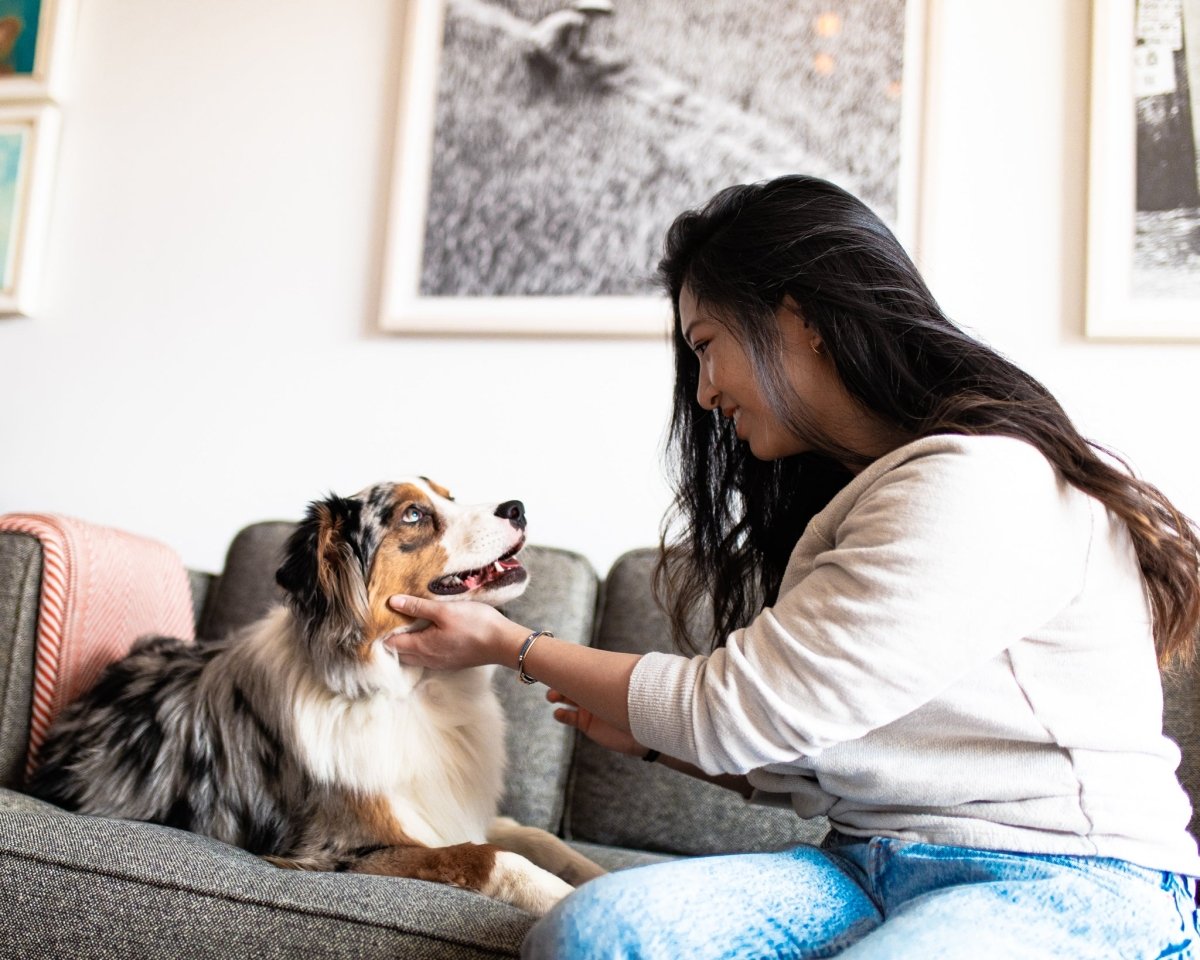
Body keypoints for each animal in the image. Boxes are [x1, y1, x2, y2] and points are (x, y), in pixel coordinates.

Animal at [25, 480, 609, 916]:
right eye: (414, 515)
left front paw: (608, 876)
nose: (518, 508)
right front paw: (565, 898)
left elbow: (541, 840)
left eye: (449, 493)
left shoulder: (452, 807)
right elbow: (493, 857)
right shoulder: (344, 849)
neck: (412, 689)